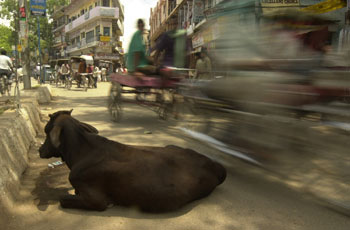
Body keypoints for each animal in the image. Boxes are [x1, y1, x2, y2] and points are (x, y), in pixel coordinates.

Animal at [39, 110, 227, 213]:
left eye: (47, 130)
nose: (40, 150)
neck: (82, 152)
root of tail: (213, 164)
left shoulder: (96, 200)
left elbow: (62, 199)